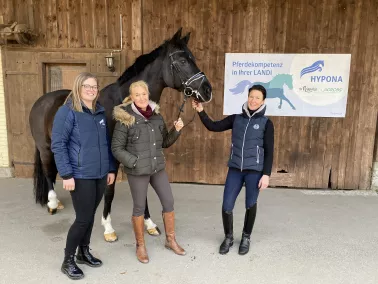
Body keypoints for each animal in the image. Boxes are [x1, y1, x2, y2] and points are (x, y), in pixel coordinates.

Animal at [28, 28, 213, 242]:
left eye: (193, 59)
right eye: (182, 61)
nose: (208, 90)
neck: (125, 105)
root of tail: (42, 101)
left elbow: (141, 190)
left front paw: (149, 224)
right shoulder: (113, 158)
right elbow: (110, 191)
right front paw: (108, 227)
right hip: (45, 147)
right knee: (49, 172)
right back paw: (52, 204)